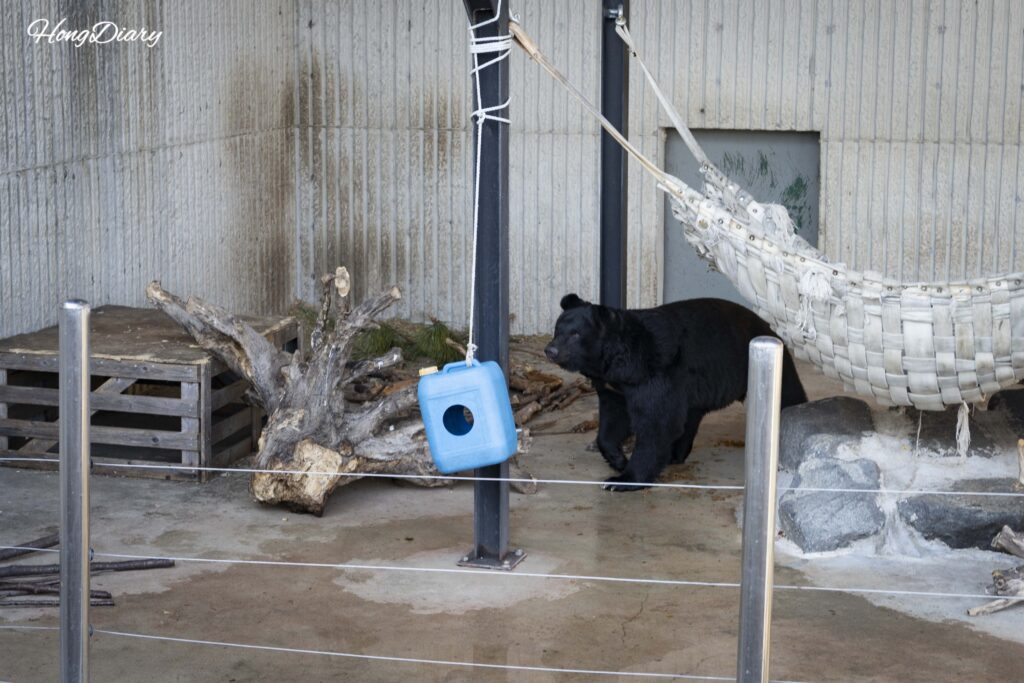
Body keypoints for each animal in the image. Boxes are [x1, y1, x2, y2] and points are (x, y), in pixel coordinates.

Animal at [545, 294, 808, 491]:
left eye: (575, 334)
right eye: (557, 329)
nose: (551, 350)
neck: (619, 362)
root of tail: (770, 329)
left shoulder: (653, 374)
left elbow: (655, 422)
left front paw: (621, 480)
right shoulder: (614, 386)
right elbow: (614, 418)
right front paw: (617, 460)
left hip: (756, 365)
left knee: (789, 394)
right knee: (689, 418)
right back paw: (676, 453)